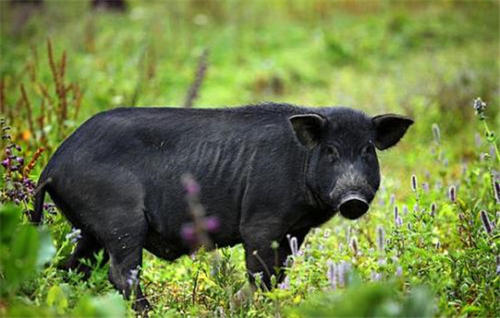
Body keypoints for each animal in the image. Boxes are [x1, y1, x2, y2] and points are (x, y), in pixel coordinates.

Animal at [32, 103, 414, 312]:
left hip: (88, 229)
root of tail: (53, 166)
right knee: (121, 272)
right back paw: (148, 311)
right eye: (331, 151)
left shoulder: (296, 230)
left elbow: (280, 274)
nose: (353, 197)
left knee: (72, 267)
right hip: (119, 218)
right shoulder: (260, 223)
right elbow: (261, 275)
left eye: (367, 150)